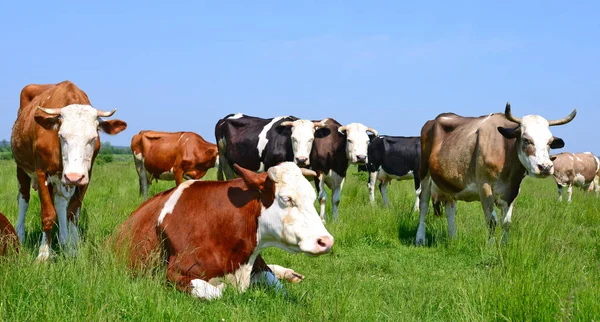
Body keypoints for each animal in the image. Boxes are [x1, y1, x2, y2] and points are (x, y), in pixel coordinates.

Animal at [10, 81, 126, 262]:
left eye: (93, 138)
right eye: (61, 135)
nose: (73, 176)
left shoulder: (86, 176)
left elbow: (72, 212)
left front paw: (72, 249)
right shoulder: (41, 172)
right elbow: (48, 214)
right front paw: (43, 254)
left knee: (60, 203)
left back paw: (64, 240)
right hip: (21, 168)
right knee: (23, 200)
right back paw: (20, 235)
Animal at [112, 162, 332, 300]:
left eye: (313, 198)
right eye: (286, 199)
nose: (326, 241)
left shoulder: (256, 262)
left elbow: (278, 286)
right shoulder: (173, 274)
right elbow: (218, 292)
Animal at [418, 102, 576, 244]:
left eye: (549, 142)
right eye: (526, 139)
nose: (545, 167)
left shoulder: (513, 191)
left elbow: (506, 222)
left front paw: (504, 245)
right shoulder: (484, 185)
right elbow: (492, 220)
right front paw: (491, 246)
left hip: (450, 182)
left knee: (450, 209)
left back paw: (453, 238)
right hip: (424, 174)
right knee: (423, 205)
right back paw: (420, 239)